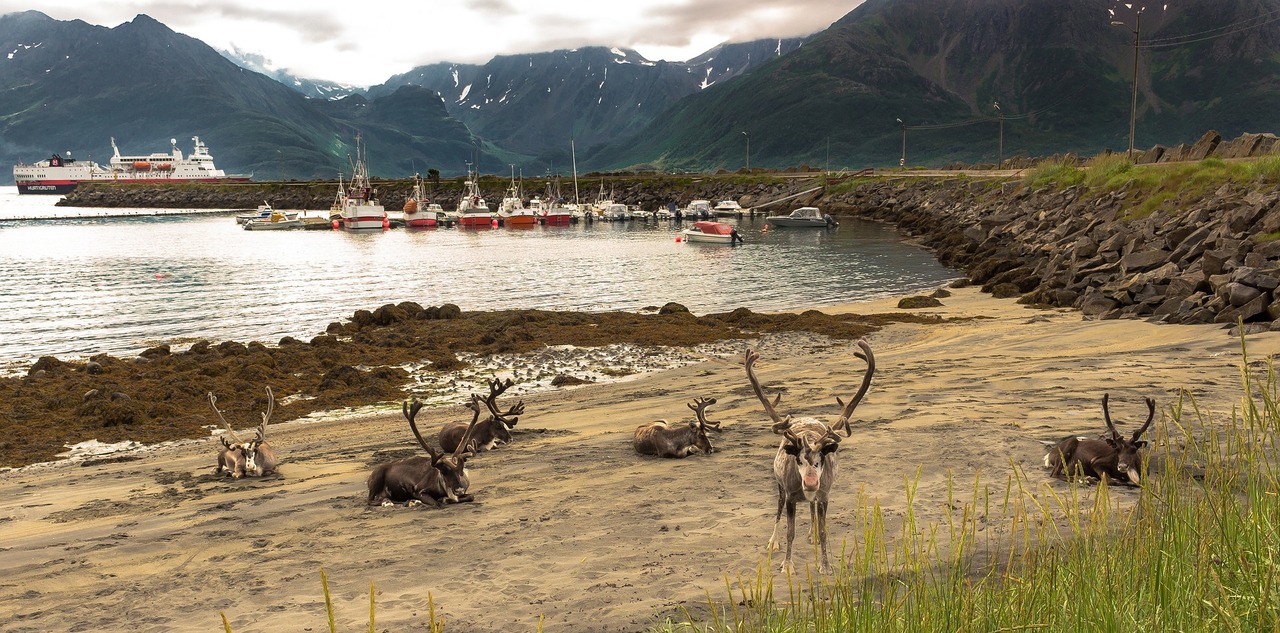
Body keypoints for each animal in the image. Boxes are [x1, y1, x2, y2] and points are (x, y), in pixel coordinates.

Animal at [745, 339, 875, 575]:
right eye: (799, 459)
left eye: (820, 459)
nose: (811, 482)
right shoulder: (790, 497)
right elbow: (790, 532)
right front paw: (787, 565)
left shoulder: (824, 496)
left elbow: (823, 532)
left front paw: (825, 564)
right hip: (779, 487)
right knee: (777, 510)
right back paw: (773, 541)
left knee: (812, 511)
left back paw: (811, 534)